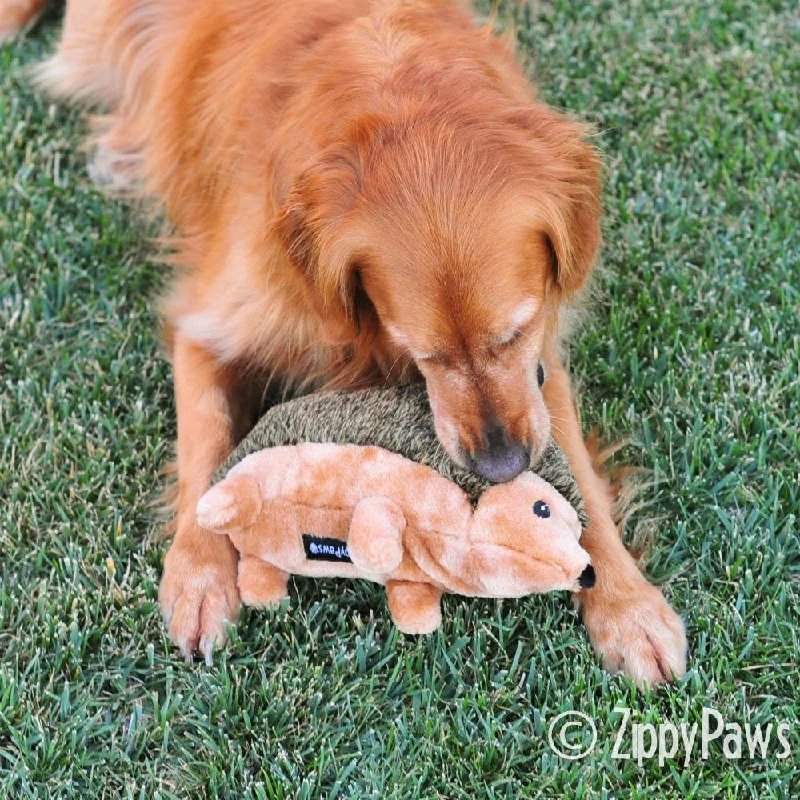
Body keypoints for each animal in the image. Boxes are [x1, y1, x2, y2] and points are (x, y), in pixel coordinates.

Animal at [3, 0, 684, 688]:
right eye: (426, 355)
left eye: (515, 333)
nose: (503, 468)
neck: (392, 89)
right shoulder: (210, 325)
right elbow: (206, 443)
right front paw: (198, 579)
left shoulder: (540, 368)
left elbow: (582, 486)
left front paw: (629, 608)